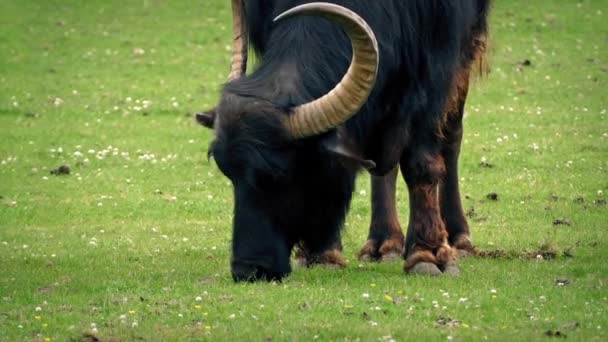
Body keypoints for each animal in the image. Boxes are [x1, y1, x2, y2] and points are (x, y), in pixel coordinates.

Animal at [197, 0, 492, 280]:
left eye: (281, 176)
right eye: (230, 175)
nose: (249, 269)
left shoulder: (436, 64)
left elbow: (421, 162)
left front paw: (427, 254)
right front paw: (324, 254)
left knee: (450, 135)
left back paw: (457, 238)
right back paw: (383, 243)